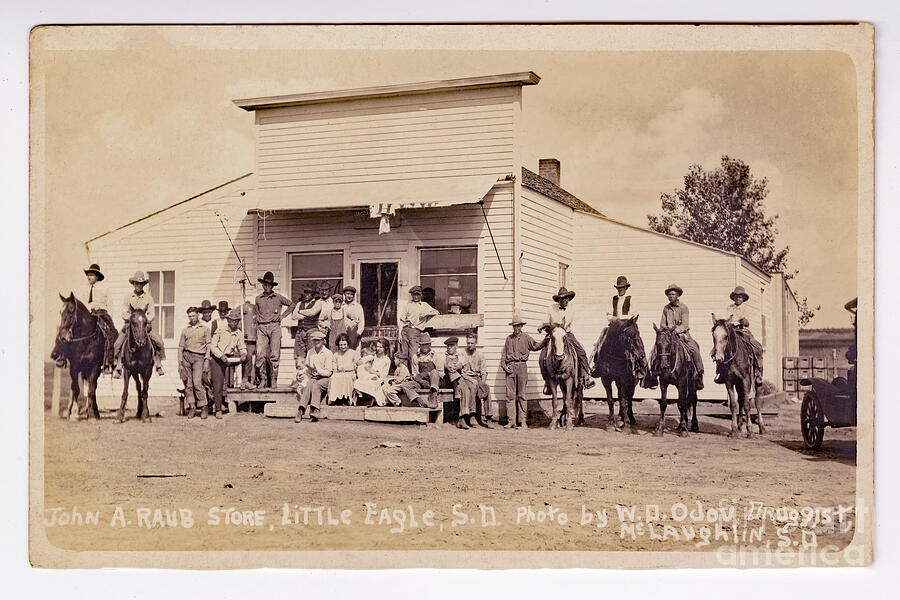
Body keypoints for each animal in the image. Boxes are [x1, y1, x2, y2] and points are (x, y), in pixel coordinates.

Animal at [50, 292, 103, 420]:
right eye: (60, 311)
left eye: (71, 310)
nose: (63, 335)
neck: (86, 341)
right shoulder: (74, 367)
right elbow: (76, 389)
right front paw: (74, 414)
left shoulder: (95, 367)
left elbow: (91, 390)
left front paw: (91, 416)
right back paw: (70, 411)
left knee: (93, 388)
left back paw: (95, 412)